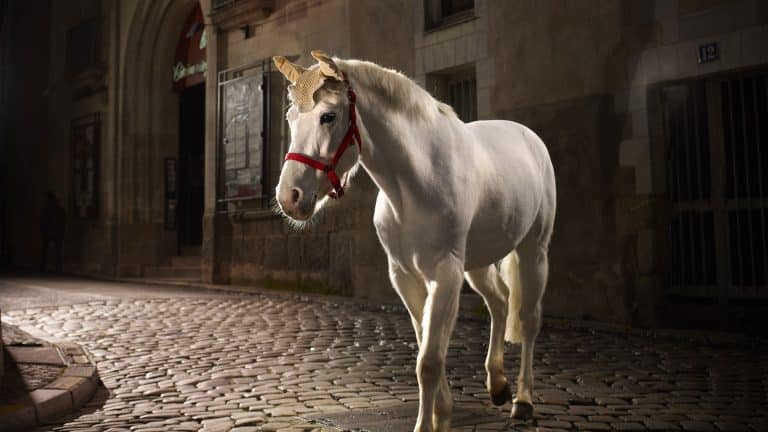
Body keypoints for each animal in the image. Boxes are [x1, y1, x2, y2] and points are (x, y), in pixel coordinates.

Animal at [272, 51, 556, 432]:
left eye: (328, 116)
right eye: (290, 119)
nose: (290, 197)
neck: (414, 182)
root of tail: (527, 136)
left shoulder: (445, 274)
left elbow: (430, 359)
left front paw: (430, 421)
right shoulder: (405, 276)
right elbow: (425, 345)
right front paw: (442, 413)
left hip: (533, 251)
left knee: (528, 317)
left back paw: (523, 400)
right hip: (477, 262)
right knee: (499, 303)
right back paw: (498, 385)